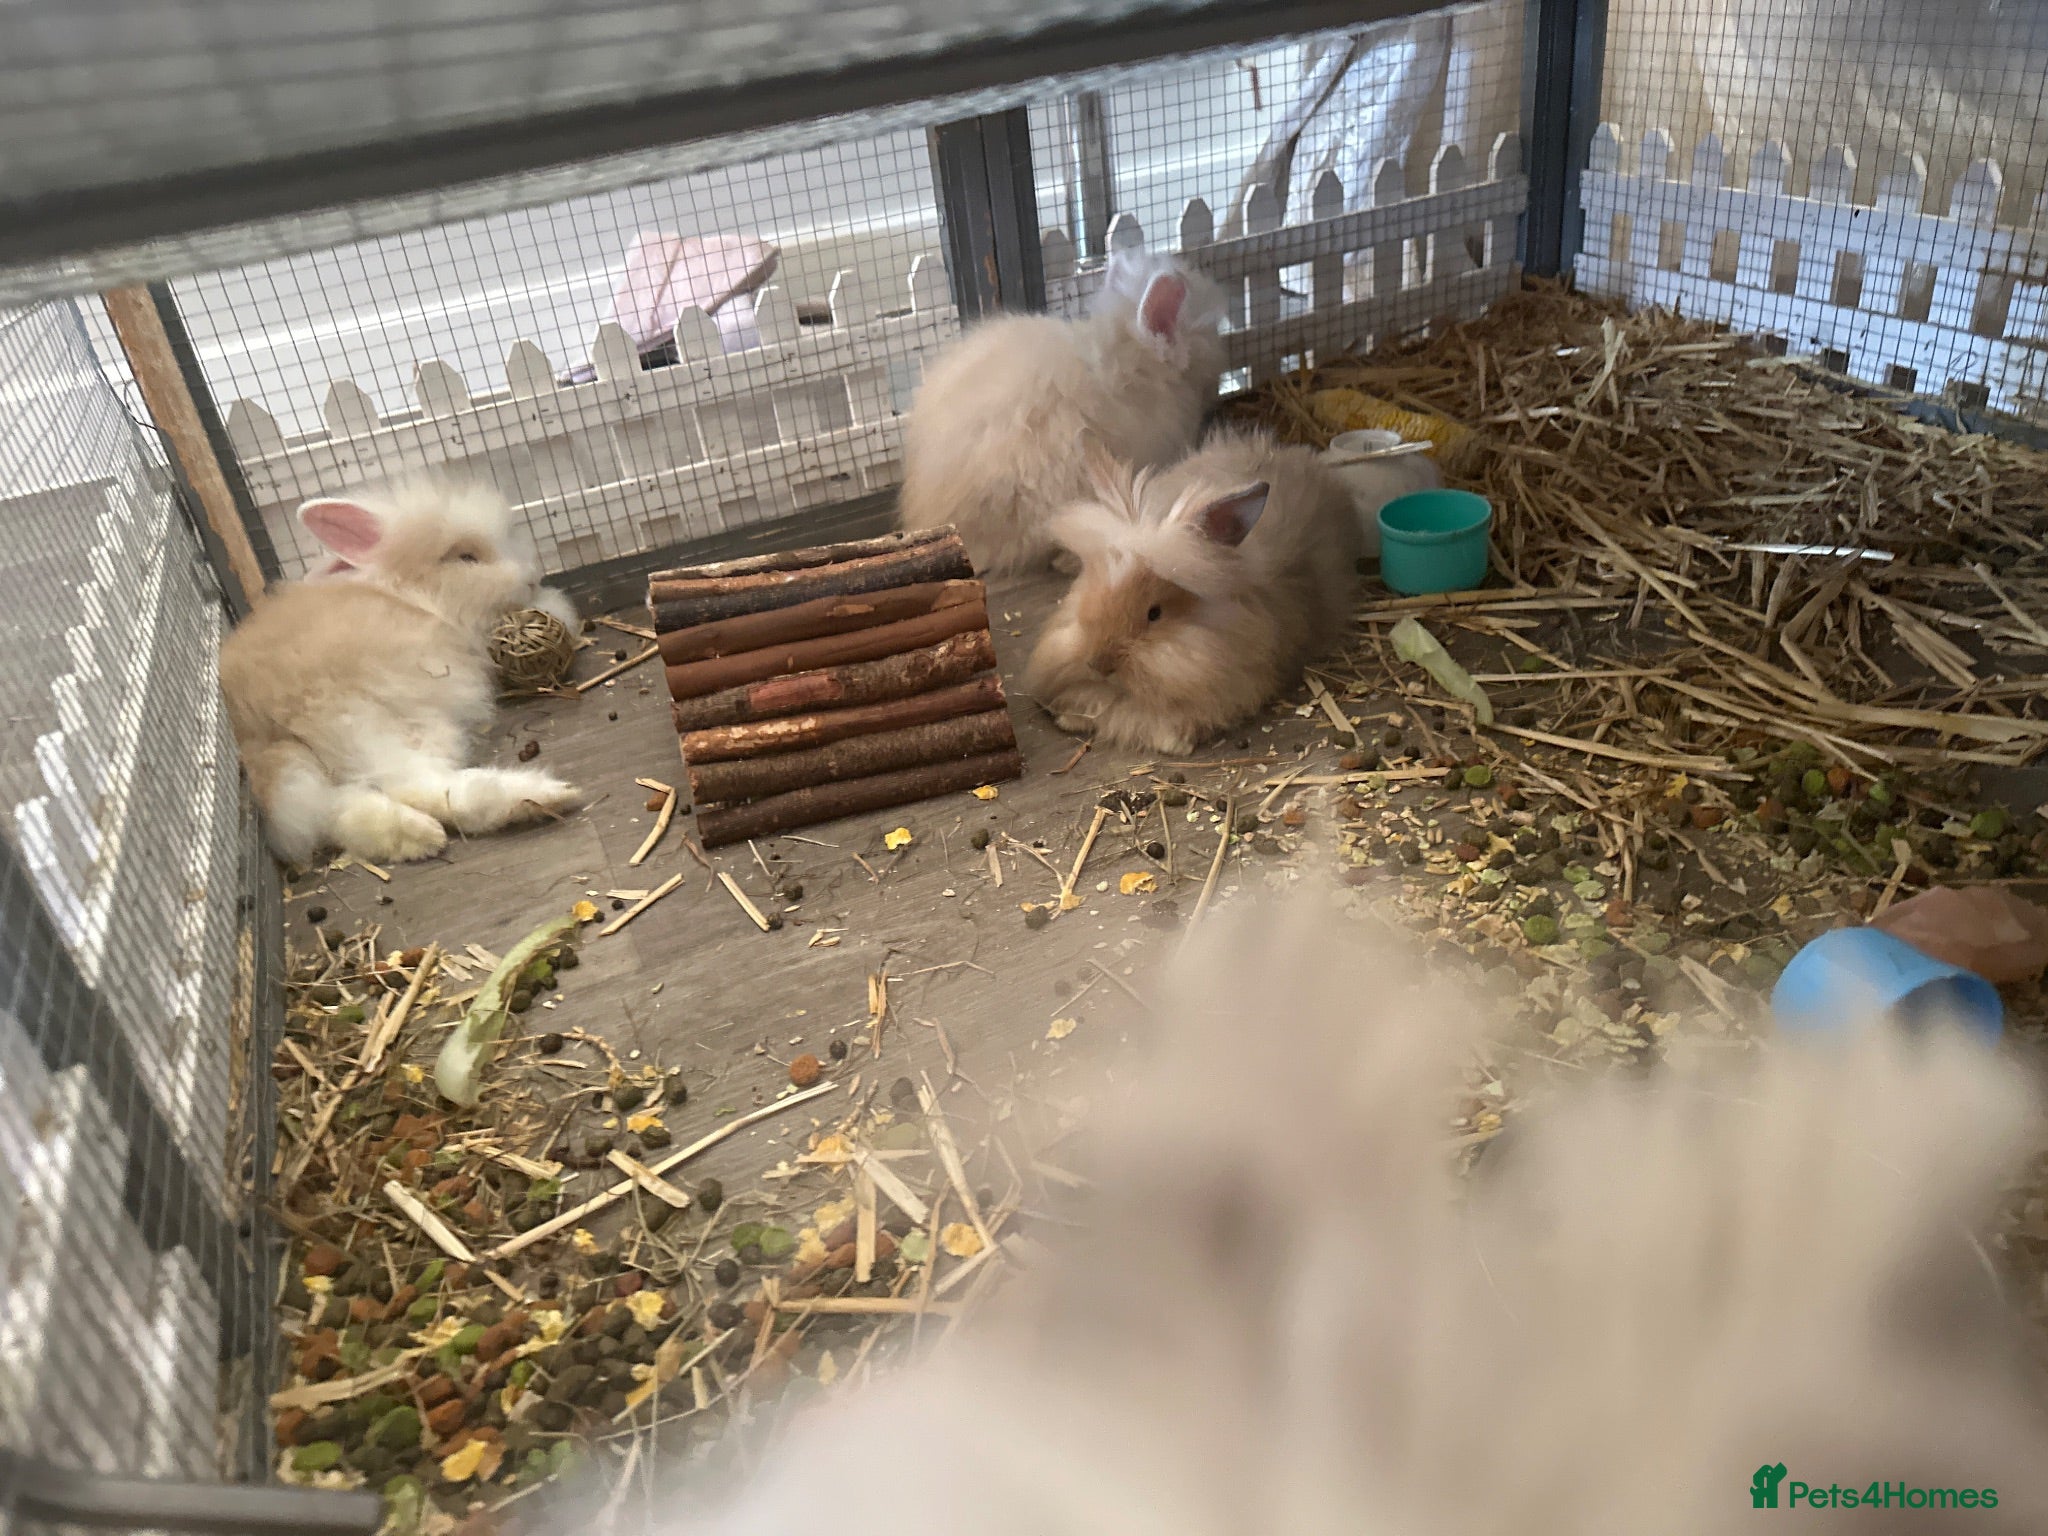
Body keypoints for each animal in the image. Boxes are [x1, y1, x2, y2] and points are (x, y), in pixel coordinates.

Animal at [219, 472, 582, 867]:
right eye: (467, 556)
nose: (532, 576)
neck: (409, 592)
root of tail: (256, 733)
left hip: (313, 777)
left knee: (342, 810)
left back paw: (415, 837)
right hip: (375, 721)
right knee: (414, 785)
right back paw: (542, 795)